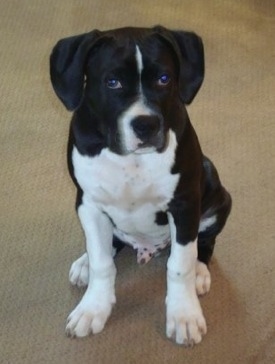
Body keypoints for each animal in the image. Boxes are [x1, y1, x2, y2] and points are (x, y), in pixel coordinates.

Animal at [50, 26, 233, 346]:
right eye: (112, 82)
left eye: (164, 79)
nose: (146, 125)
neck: (131, 160)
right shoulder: (88, 203)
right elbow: (102, 262)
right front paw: (92, 307)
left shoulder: (185, 205)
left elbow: (180, 264)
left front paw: (184, 316)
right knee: (110, 244)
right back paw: (85, 263)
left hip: (216, 191)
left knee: (203, 243)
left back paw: (200, 271)